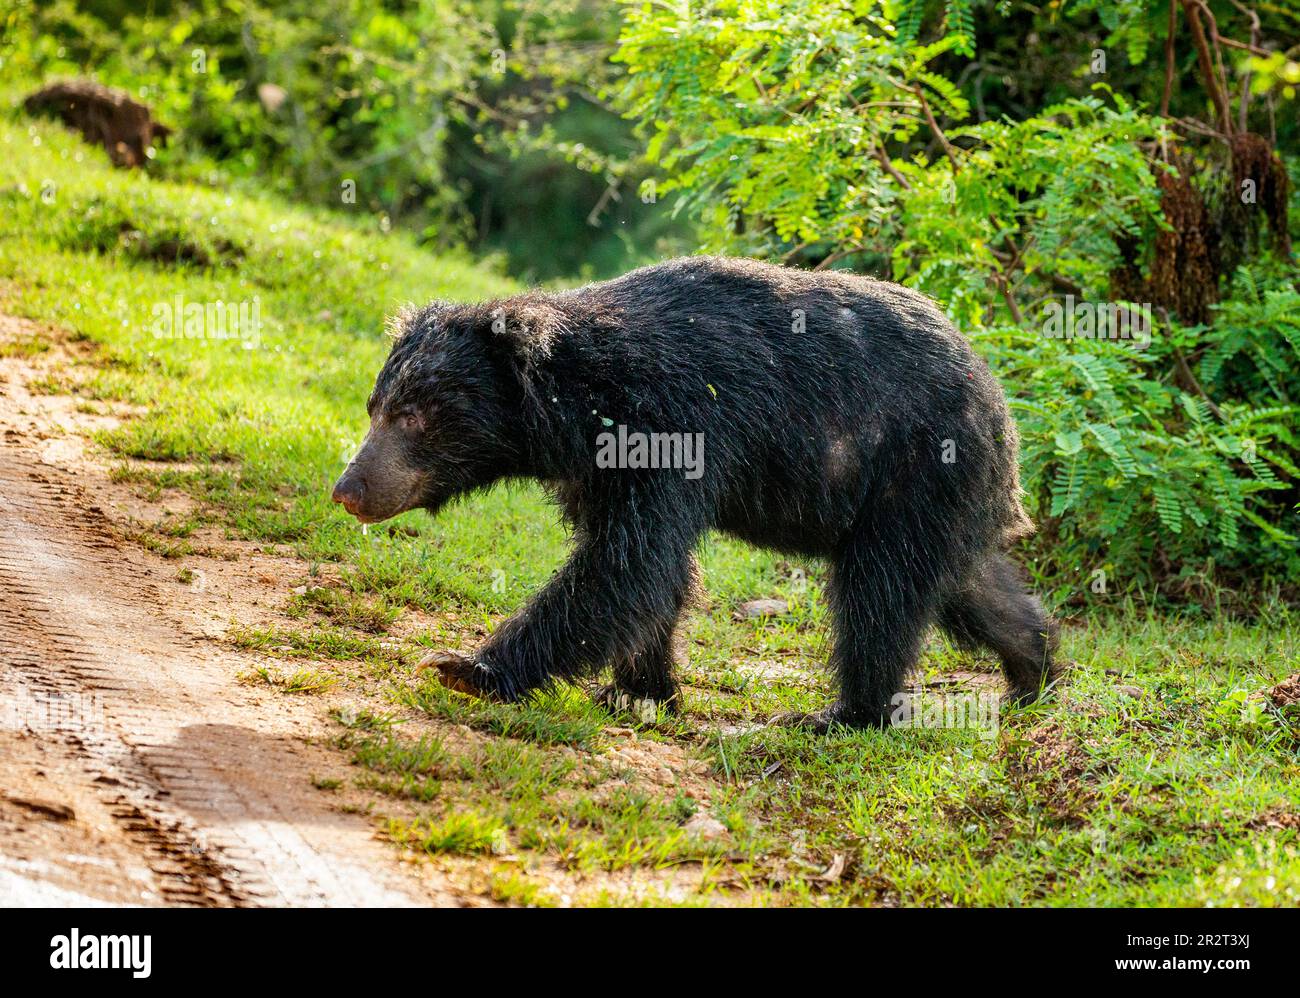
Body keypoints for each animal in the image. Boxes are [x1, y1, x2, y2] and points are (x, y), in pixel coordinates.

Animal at [332, 253, 1055, 727]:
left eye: (412, 416)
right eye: (374, 407)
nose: (347, 489)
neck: (575, 407)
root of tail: (1004, 418)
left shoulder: (668, 425)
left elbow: (629, 565)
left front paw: (466, 669)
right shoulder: (595, 468)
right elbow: (647, 571)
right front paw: (642, 691)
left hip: (908, 468)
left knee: (880, 595)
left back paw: (842, 714)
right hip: (939, 496)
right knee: (969, 586)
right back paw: (1033, 676)